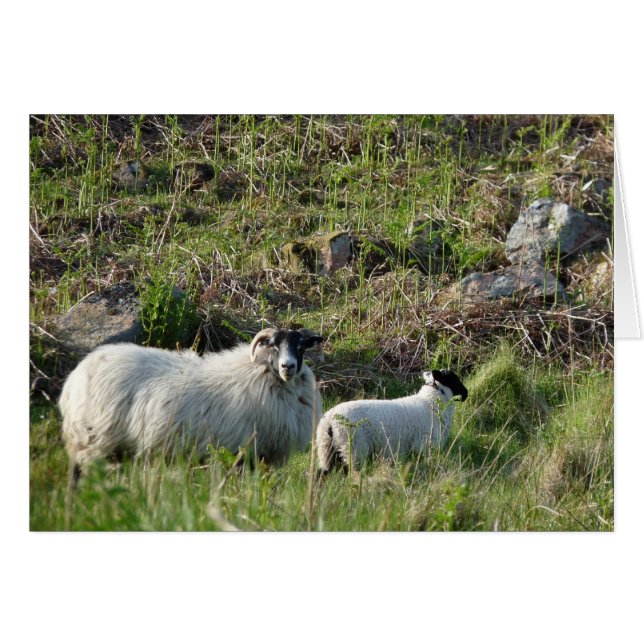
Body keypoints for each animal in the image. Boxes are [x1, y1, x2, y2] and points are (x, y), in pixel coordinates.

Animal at [59, 327, 325, 479]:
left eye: (301, 347)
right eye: (273, 345)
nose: (288, 366)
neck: (262, 374)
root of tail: (75, 379)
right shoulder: (250, 449)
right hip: (97, 436)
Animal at [316, 369, 467, 474]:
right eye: (454, 379)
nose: (466, 394)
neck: (430, 401)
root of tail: (329, 421)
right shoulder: (423, 445)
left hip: (328, 450)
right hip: (354, 449)